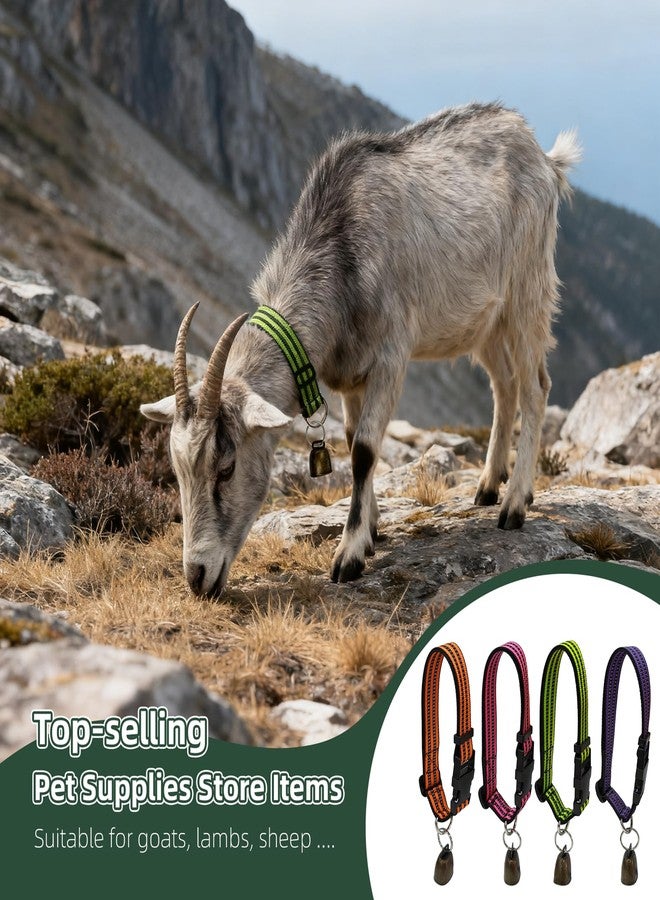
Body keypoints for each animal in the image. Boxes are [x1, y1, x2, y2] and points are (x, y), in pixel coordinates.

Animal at [141, 102, 581, 596]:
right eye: (177, 470)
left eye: (226, 467)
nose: (197, 577)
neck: (342, 253)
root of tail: (545, 157)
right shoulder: (350, 375)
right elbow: (353, 441)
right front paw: (370, 531)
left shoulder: (390, 357)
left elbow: (366, 450)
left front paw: (349, 556)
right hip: (484, 321)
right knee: (504, 386)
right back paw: (487, 487)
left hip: (528, 291)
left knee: (535, 386)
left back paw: (515, 505)